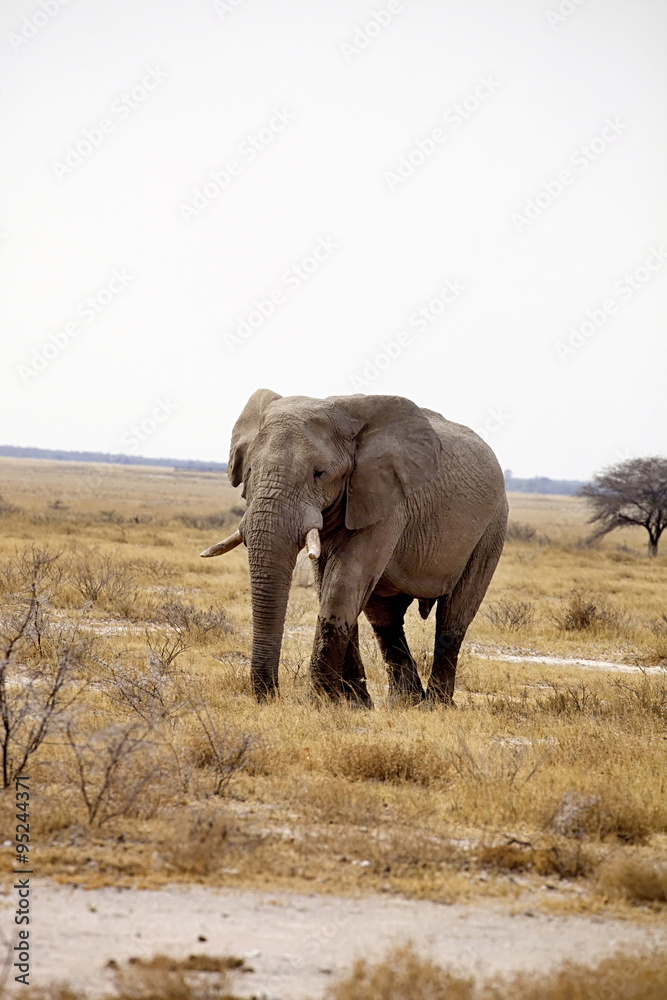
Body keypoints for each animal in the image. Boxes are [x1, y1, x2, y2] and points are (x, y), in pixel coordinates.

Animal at [201, 390, 507, 707]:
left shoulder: (386, 499)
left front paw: (321, 702)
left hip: (492, 528)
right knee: (385, 618)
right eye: (250, 470)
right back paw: (407, 702)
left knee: (453, 615)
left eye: (319, 473)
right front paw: (352, 705)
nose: (272, 696)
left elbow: (343, 583)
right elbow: (329, 584)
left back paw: (436, 705)